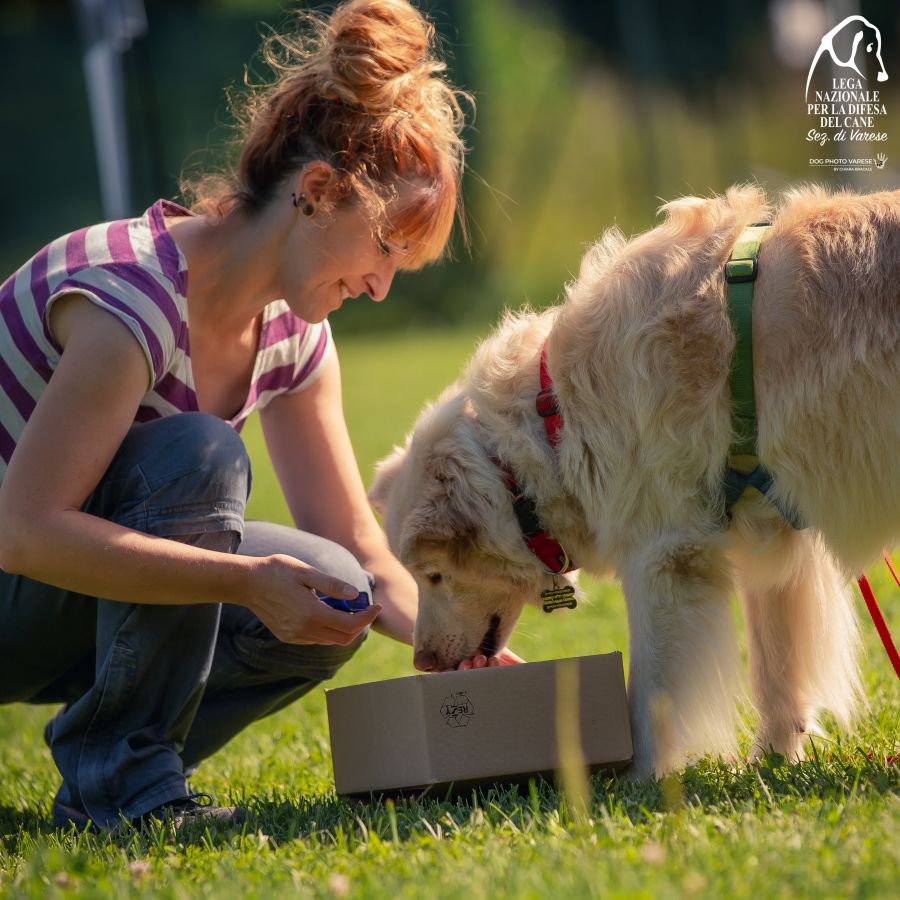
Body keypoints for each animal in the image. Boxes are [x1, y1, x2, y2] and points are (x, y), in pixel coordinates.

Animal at [368, 185, 900, 780]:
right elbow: (775, 670)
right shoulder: (775, 546)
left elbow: (648, 690)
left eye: (434, 575)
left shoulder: (664, 555)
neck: (551, 419)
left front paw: (642, 777)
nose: (422, 663)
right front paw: (773, 757)